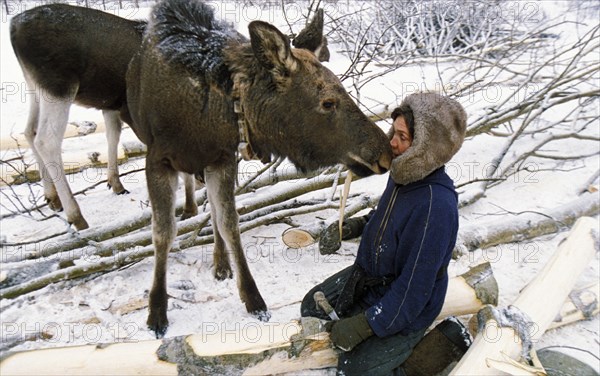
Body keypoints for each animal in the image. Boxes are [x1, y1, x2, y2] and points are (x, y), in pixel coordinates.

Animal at [9, 4, 150, 229]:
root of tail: (13, 26)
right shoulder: (131, 108)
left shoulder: (111, 105)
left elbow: (113, 135)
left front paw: (115, 183)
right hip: (59, 87)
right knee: (46, 140)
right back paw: (76, 215)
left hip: (34, 86)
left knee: (29, 130)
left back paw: (52, 197)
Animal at [125, 0, 394, 338]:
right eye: (328, 102)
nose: (385, 153)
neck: (204, 119)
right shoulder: (158, 159)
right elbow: (162, 233)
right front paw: (157, 312)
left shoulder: (222, 157)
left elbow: (228, 223)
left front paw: (253, 298)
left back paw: (221, 264)